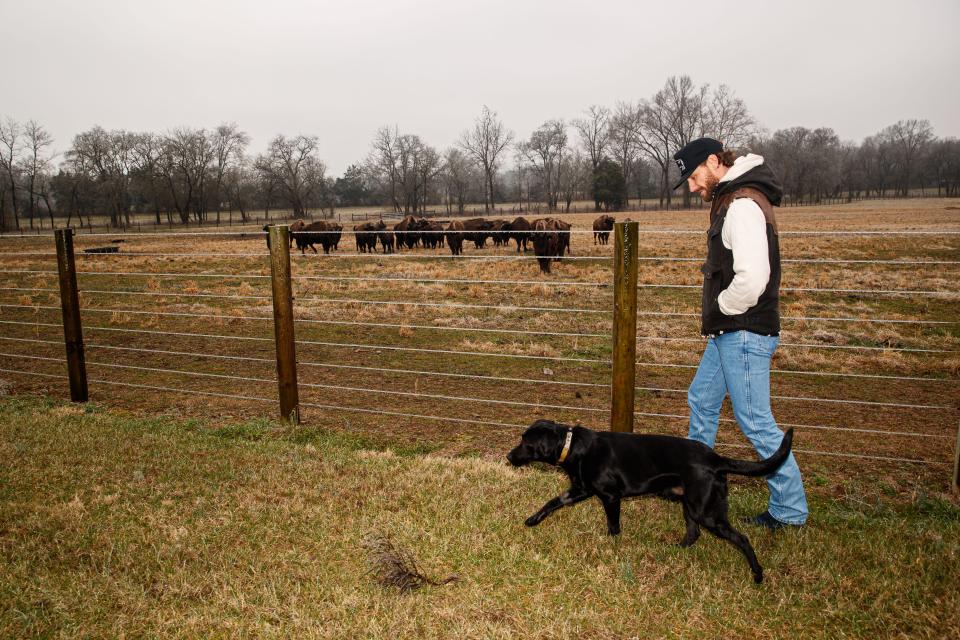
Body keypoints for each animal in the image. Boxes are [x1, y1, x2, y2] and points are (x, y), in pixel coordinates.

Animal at [506, 418, 792, 584]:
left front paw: (611, 546)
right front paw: (533, 519)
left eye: (525, 442)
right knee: (693, 534)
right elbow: (552, 502)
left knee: (741, 538)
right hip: (690, 506)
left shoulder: (610, 496)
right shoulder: (580, 489)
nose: (508, 456)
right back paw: (674, 550)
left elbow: (613, 527)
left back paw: (757, 574)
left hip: (706, 512)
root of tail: (716, 459)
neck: (572, 445)